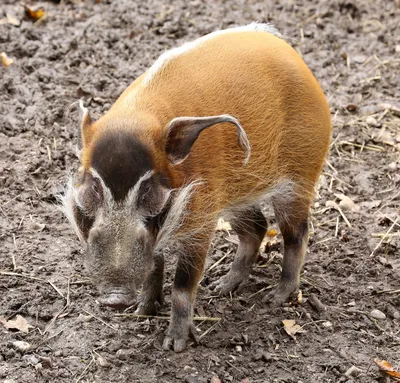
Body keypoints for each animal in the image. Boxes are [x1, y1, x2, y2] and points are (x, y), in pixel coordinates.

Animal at [61, 22, 332, 352]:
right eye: (94, 185)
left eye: (148, 188)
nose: (116, 298)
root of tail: (288, 50)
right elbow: (155, 264)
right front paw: (141, 313)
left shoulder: (201, 217)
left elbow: (183, 284)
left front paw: (174, 345)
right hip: (235, 196)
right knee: (256, 228)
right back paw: (221, 287)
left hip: (298, 177)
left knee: (297, 232)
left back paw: (276, 296)